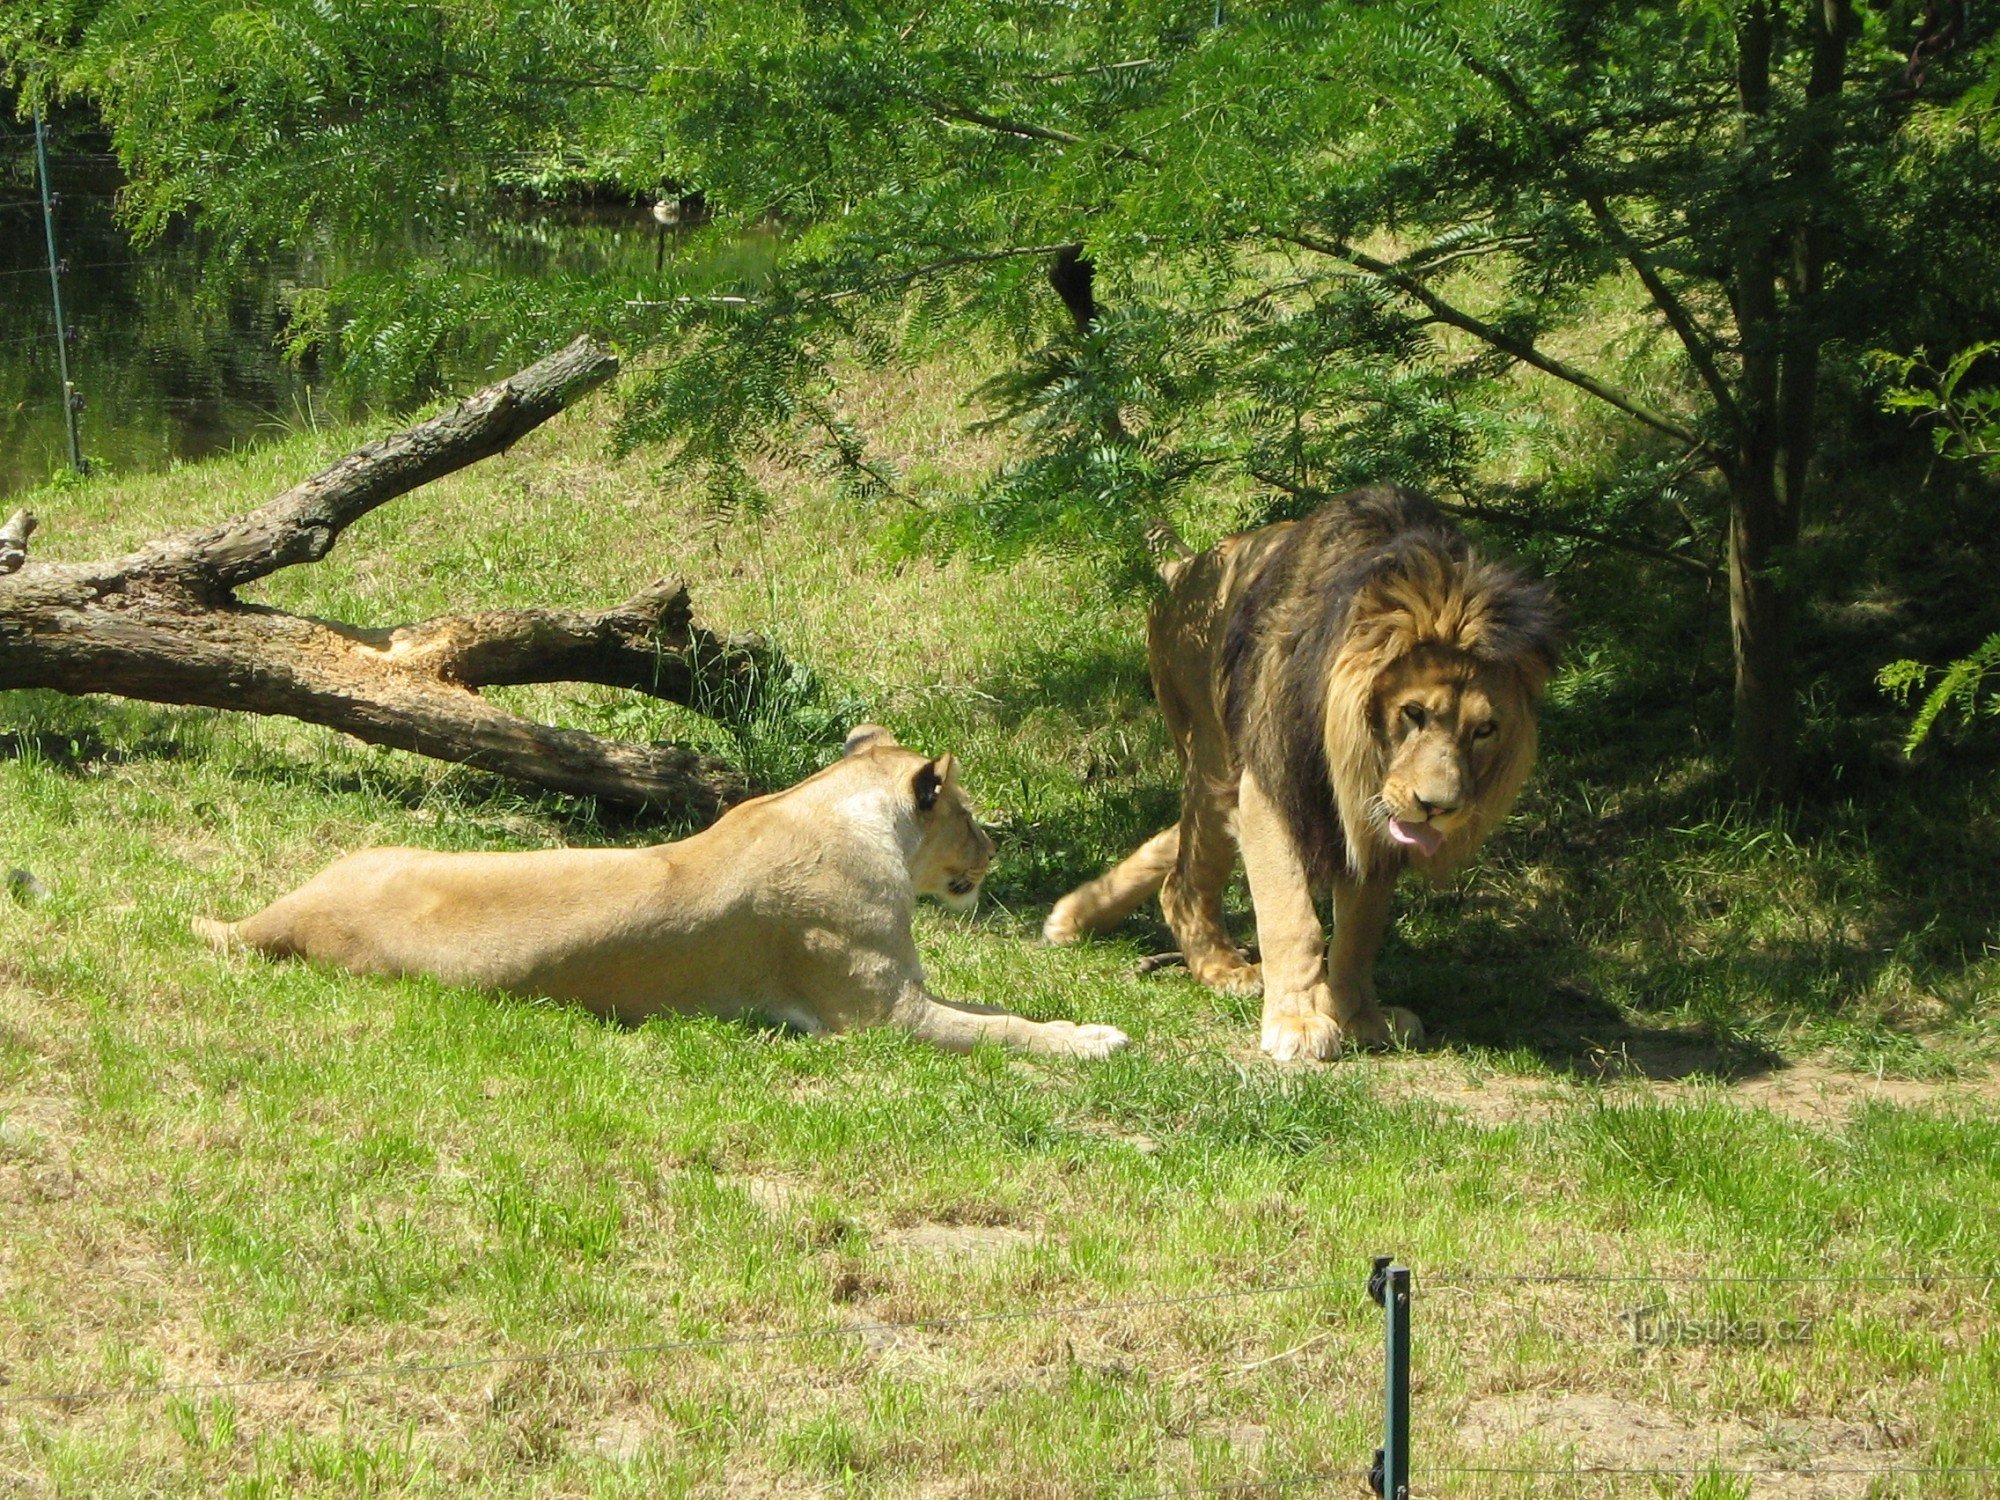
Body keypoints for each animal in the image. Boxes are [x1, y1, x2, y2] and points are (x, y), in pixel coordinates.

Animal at [199, 724, 1128, 1056]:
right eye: (967, 813)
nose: (994, 847)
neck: (832, 804)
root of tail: (281, 912)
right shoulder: (878, 1019)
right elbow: (1004, 1030)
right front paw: (1093, 1042)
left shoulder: (906, 993)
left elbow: (995, 1007)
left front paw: (1081, 1022)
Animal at [1040, 488, 1568, 1064]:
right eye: (1413, 713)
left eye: (1485, 730)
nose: (1439, 808)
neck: (1353, 752)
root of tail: (1188, 566)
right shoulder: (1270, 783)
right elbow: (1292, 919)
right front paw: (1299, 1021)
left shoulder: (1372, 818)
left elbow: (1358, 932)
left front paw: (1361, 1017)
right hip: (1212, 758)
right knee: (1183, 881)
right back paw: (1221, 967)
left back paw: (1072, 915)